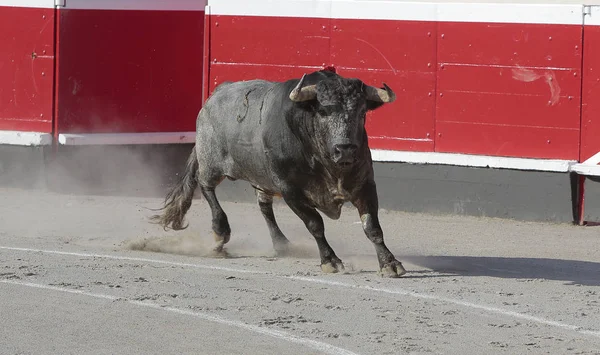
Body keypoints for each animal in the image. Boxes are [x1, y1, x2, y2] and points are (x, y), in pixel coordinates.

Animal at [152, 69, 408, 280]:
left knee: (264, 206)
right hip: (210, 162)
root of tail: (216, 93)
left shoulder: (365, 185)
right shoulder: (290, 190)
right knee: (206, 187)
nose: (345, 149)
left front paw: (390, 263)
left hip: (262, 178)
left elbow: (372, 227)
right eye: (323, 111)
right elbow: (315, 224)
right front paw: (330, 261)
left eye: (362, 111)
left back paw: (281, 244)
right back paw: (220, 233)